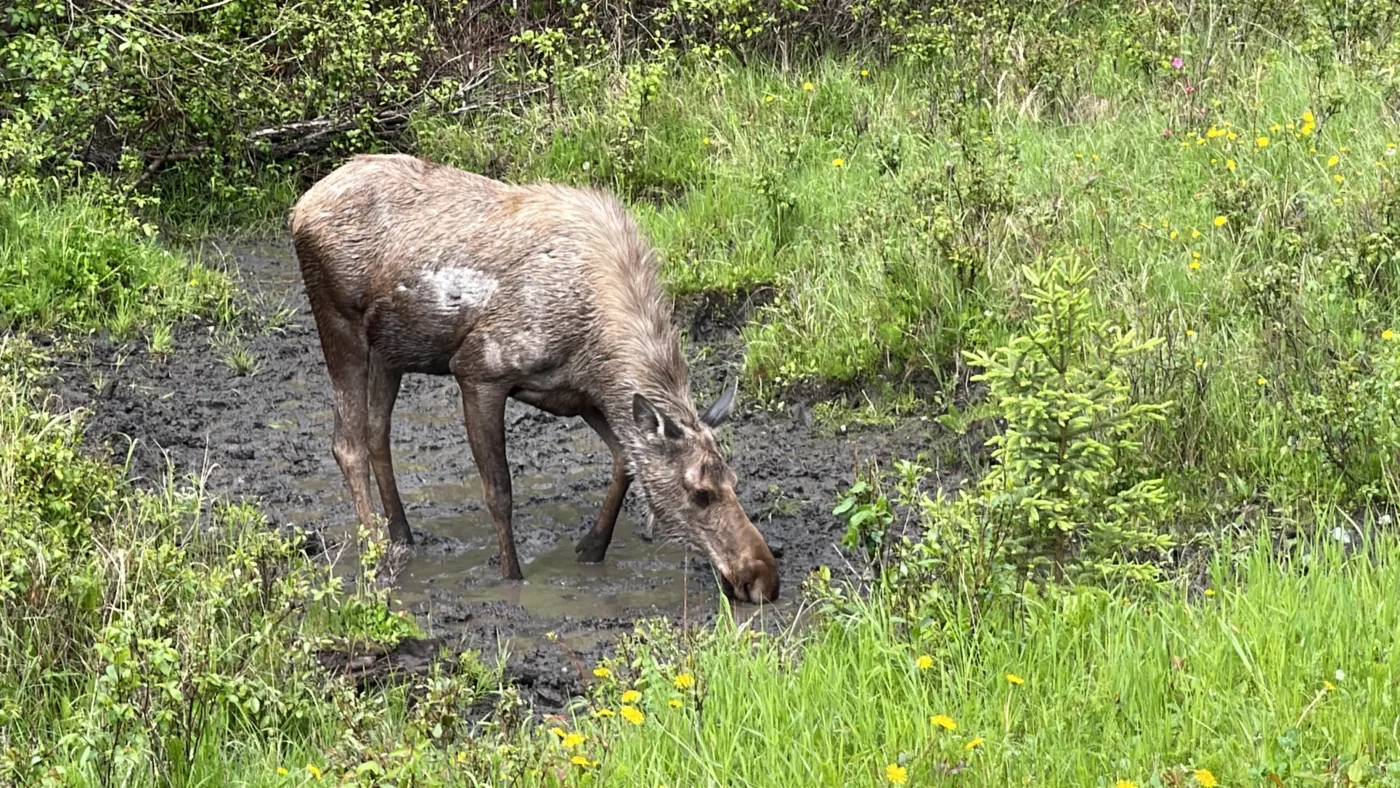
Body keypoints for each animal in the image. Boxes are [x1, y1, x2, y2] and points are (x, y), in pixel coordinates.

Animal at [289, 153, 784, 604]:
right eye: (699, 492)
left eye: (734, 479)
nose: (762, 577)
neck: (594, 342)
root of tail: (297, 210)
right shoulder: (479, 370)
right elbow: (499, 490)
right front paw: (512, 576)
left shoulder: (581, 394)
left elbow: (623, 461)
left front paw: (591, 547)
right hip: (340, 323)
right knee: (348, 443)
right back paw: (376, 554)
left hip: (390, 351)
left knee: (377, 433)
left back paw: (402, 536)